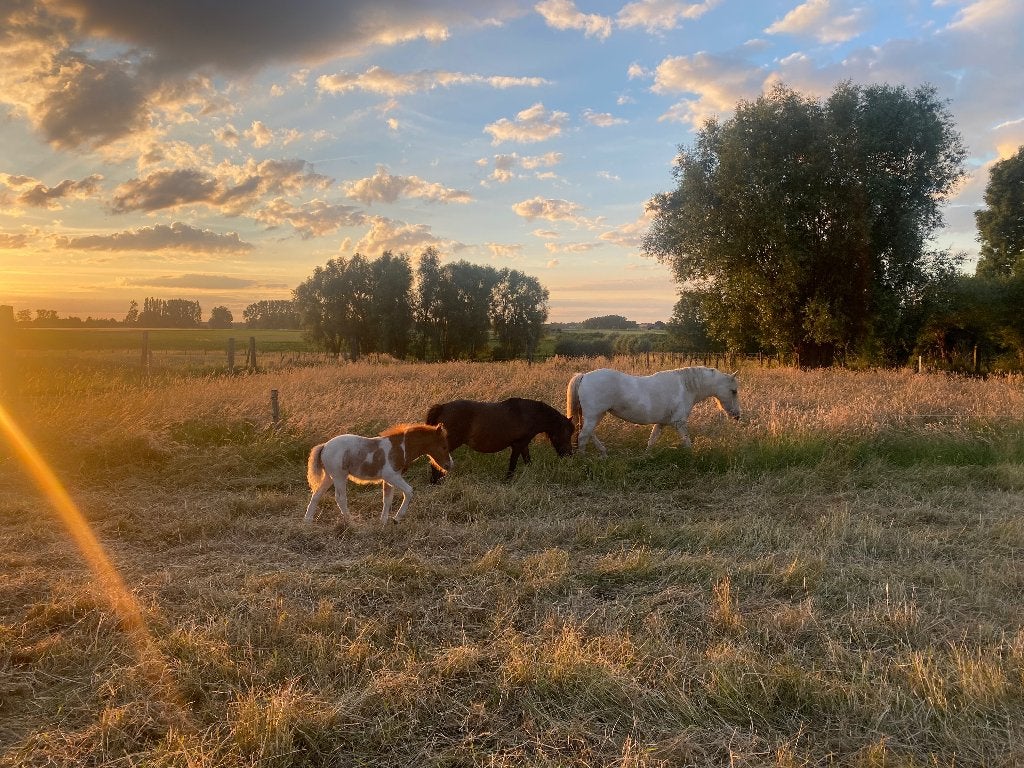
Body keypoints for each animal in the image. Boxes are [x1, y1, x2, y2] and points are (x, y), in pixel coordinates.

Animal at [304, 423, 453, 524]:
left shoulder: (388, 480)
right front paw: (397, 518)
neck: (401, 449)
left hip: (329, 477)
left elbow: (387, 499)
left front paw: (383, 521)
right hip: (339, 476)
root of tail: (324, 446)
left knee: (316, 495)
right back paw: (351, 521)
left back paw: (308, 520)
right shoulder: (392, 477)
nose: (450, 465)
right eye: (444, 446)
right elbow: (409, 491)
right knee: (340, 498)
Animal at [425, 397, 574, 480]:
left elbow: (528, 461)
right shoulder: (518, 445)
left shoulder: (524, 444)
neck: (528, 414)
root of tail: (442, 407)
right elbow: (513, 464)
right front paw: (508, 480)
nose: (569, 455)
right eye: (567, 433)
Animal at [566, 366, 741, 456]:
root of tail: (584, 376)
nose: (737, 415)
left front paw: (645, 457)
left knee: (588, 433)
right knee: (583, 436)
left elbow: (652, 440)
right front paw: (692, 457)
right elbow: (687, 442)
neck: (685, 387)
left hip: (596, 415)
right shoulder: (679, 423)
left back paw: (603, 453)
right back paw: (584, 459)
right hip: (594, 415)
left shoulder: (661, 423)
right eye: (734, 391)